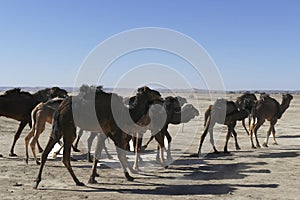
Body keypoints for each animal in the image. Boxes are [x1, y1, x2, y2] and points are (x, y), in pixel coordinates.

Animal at [34, 85, 163, 188]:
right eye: (149, 91)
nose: (160, 95)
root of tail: (60, 108)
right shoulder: (113, 132)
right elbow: (118, 154)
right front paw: (128, 176)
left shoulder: (103, 133)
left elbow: (99, 154)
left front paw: (93, 177)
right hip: (69, 128)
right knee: (65, 157)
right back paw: (77, 181)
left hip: (57, 129)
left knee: (45, 153)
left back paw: (37, 181)